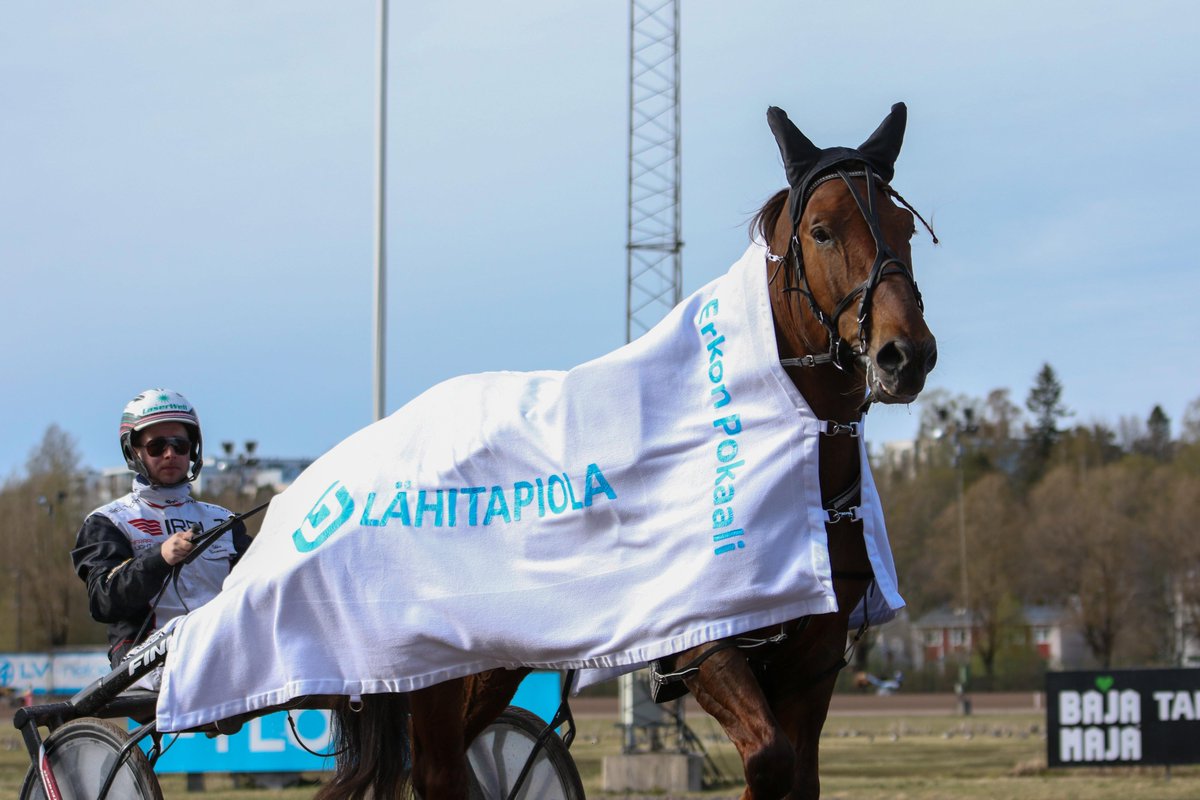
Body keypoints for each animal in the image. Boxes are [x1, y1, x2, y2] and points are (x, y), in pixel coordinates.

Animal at [314, 104, 931, 800]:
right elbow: (768, 759)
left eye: (906, 226)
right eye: (822, 231)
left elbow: (796, 774)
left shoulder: (813, 661)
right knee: (435, 767)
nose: (905, 354)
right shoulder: (703, 646)